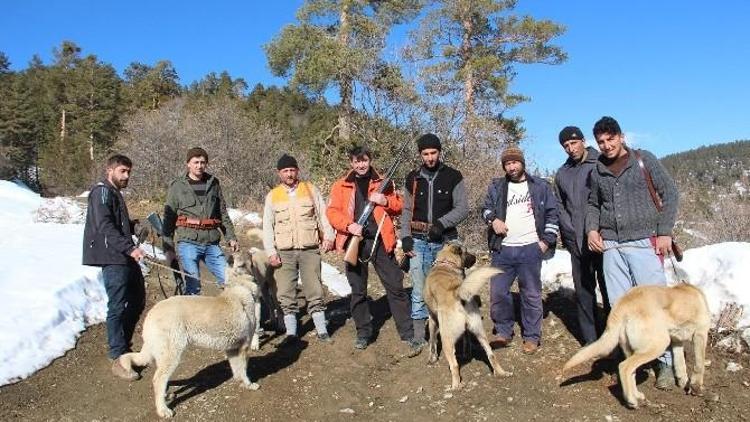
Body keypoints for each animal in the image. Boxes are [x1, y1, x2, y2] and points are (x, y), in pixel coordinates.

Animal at [116, 266, 260, 418]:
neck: (240, 287)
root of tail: (150, 315)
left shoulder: (232, 349)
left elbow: (237, 369)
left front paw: (240, 382)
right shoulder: (244, 347)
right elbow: (243, 369)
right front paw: (249, 384)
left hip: (162, 355)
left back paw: (166, 396)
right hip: (172, 356)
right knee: (158, 380)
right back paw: (163, 410)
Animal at [426, 241, 516, 390]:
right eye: (467, 252)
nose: (474, 258)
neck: (446, 264)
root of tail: (457, 293)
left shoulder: (432, 319)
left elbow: (432, 343)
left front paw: (431, 359)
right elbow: (466, 339)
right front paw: (466, 352)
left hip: (446, 340)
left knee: (454, 365)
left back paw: (455, 386)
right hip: (480, 332)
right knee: (491, 355)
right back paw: (501, 373)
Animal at [560, 284, 712, 408]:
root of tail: (623, 303)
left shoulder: (676, 341)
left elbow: (681, 365)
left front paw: (684, 383)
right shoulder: (700, 334)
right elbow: (699, 365)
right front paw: (696, 387)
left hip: (632, 348)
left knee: (631, 372)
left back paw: (637, 395)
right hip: (658, 344)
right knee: (624, 367)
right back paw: (631, 400)